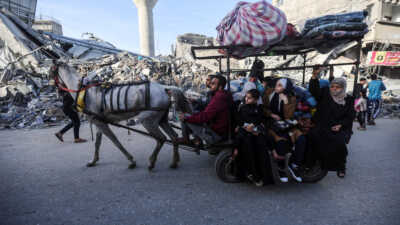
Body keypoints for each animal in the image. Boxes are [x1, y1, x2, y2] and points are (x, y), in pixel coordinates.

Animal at [55, 61, 191, 171]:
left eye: (52, 71)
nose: (59, 92)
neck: (83, 90)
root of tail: (165, 88)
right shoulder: (99, 122)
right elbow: (97, 143)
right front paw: (93, 161)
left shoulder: (100, 123)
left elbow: (115, 141)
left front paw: (131, 161)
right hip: (162, 119)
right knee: (174, 137)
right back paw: (174, 162)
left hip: (148, 120)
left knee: (161, 138)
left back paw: (152, 162)